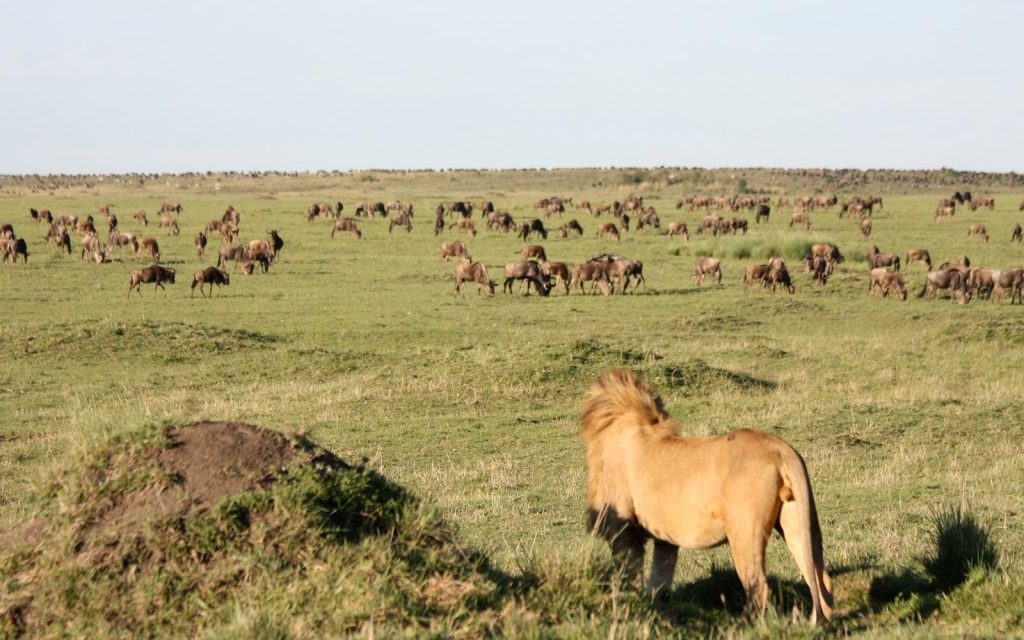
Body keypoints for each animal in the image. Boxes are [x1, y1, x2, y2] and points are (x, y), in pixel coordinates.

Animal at [581, 369, 833, 624]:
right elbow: (660, 582)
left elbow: (628, 576)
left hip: (744, 531)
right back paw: (819, 623)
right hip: (797, 520)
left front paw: (631, 605)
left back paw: (741, 624)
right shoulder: (665, 539)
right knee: (822, 579)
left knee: (759, 586)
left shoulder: (623, 529)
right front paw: (657, 610)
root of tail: (781, 449)